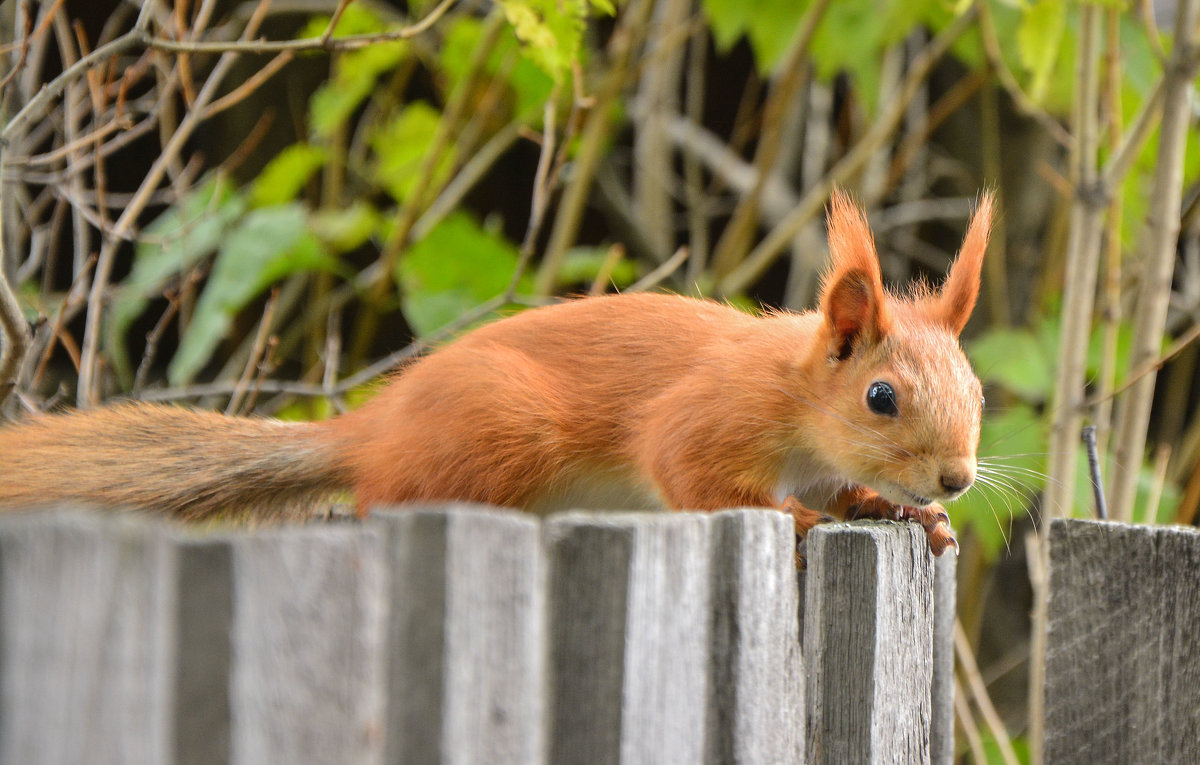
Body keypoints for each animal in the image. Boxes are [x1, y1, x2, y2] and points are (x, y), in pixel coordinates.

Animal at [0, 191, 988, 561]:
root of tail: (370, 424)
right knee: (384, 496)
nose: (957, 478)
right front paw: (797, 516)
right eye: (881, 396)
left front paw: (906, 512)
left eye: (978, 392)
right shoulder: (711, 416)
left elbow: (852, 492)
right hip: (503, 432)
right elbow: (694, 473)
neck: (797, 398)